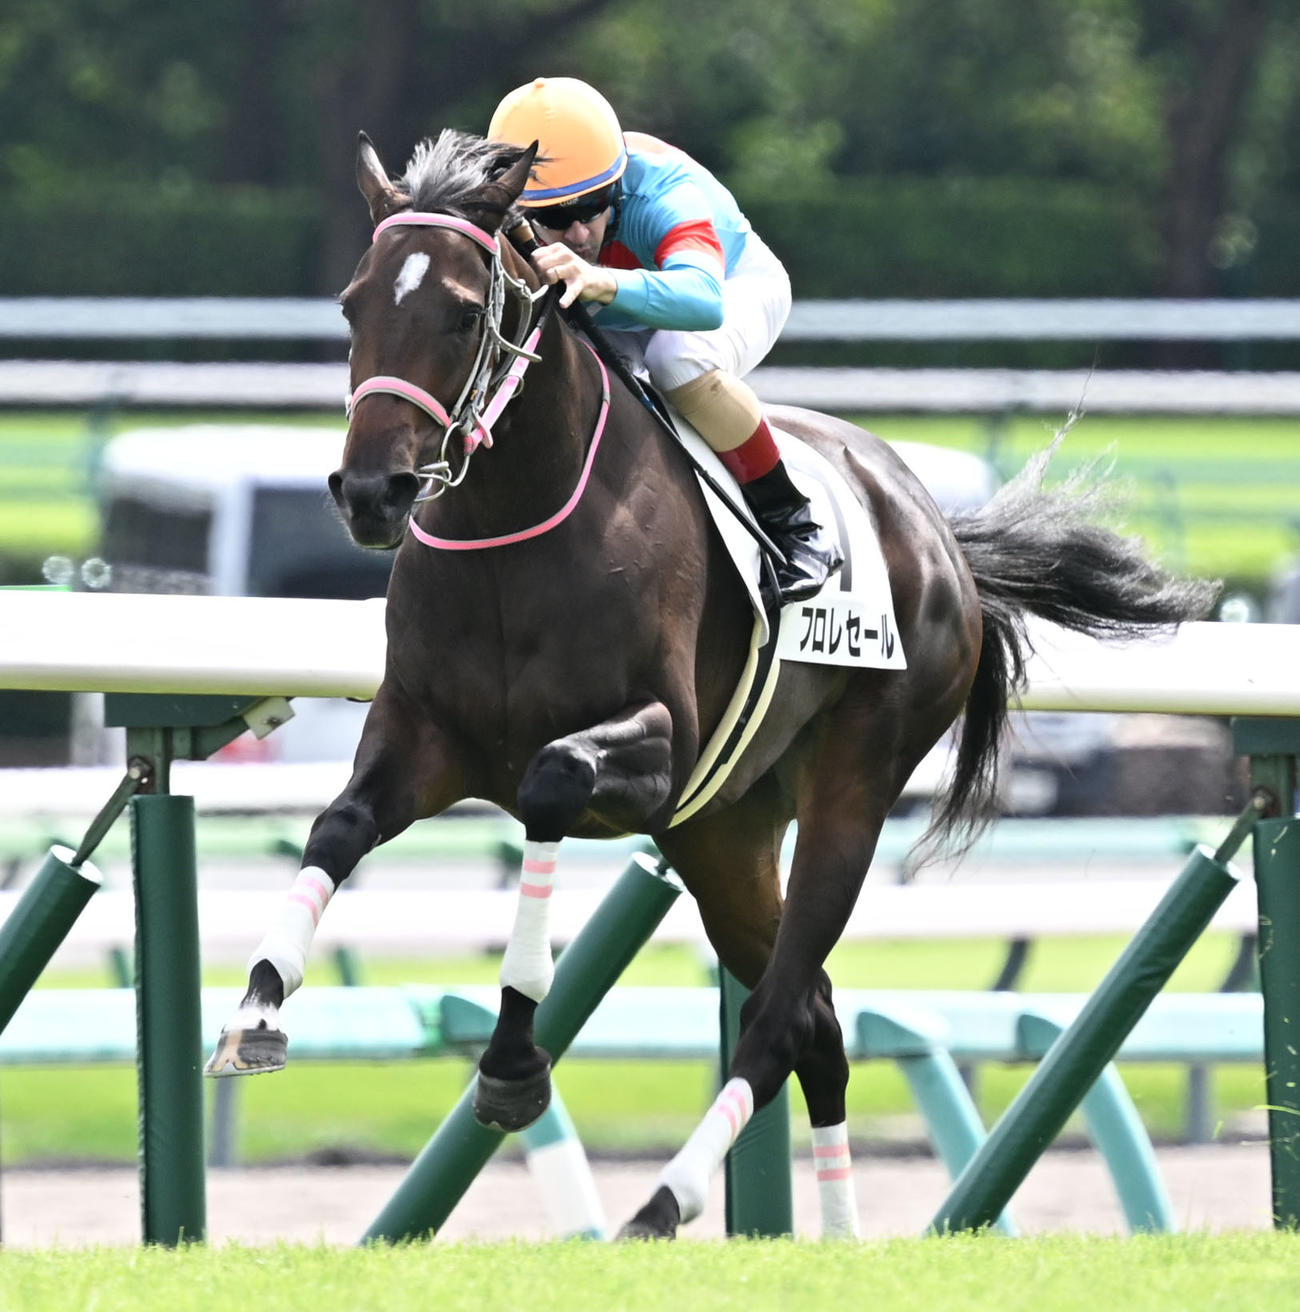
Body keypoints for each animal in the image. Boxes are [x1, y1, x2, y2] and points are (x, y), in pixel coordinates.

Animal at [206, 128, 1216, 1240]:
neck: (515, 531)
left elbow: (552, 781)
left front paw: (512, 1061)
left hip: (851, 782)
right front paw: (259, 1002)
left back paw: (665, 1198)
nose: (372, 492)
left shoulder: (655, 746)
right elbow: (340, 825)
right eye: (354, 305)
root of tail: (939, 534)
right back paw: (834, 1238)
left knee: (779, 1016)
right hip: (723, 832)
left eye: (466, 312)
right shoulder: (429, 733)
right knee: (817, 1018)